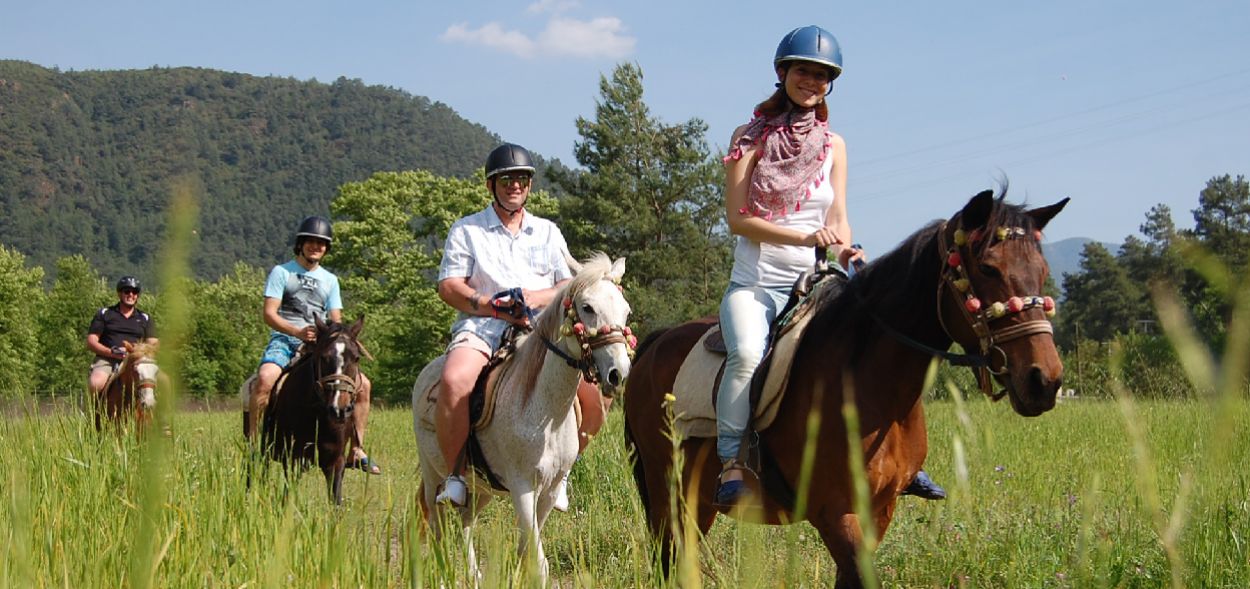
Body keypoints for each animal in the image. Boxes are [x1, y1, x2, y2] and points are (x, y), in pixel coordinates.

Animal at [261, 316, 365, 505]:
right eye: (324, 357)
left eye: (356, 358)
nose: (339, 409)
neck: (318, 414)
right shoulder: (293, 459)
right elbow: (288, 497)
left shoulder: (335, 461)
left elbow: (336, 502)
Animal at [412, 251, 635, 582]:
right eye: (587, 307)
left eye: (625, 310)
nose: (618, 373)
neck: (545, 416)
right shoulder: (522, 487)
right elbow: (538, 562)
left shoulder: (549, 491)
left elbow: (526, 552)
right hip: (433, 477)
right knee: (439, 529)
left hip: (481, 487)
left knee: (465, 523)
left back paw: (474, 576)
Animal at [620, 191, 1070, 587]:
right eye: (988, 269)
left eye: (1043, 272)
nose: (1043, 380)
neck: (872, 386)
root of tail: (654, 344)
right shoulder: (834, 512)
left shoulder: (880, 509)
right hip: (666, 488)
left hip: (696, 497)